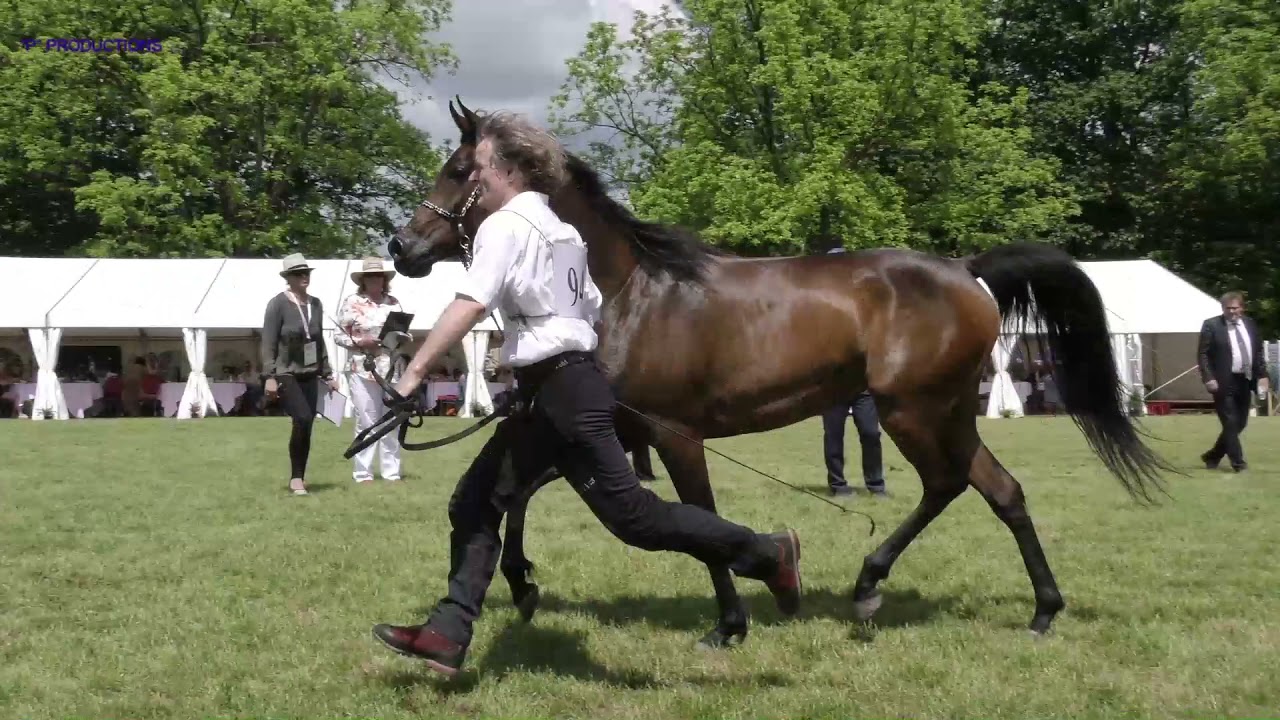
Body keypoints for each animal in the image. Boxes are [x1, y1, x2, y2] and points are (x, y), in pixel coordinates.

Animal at [383, 97, 1175, 649]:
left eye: (459, 171)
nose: (401, 248)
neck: (630, 291)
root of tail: (967, 270)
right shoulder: (603, 433)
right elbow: (518, 494)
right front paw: (521, 584)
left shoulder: (670, 435)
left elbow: (698, 519)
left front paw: (730, 624)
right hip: (945, 412)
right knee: (1002, 491)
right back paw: (1042, 610)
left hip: (913, 411)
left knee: (948, 485)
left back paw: (869, 585)